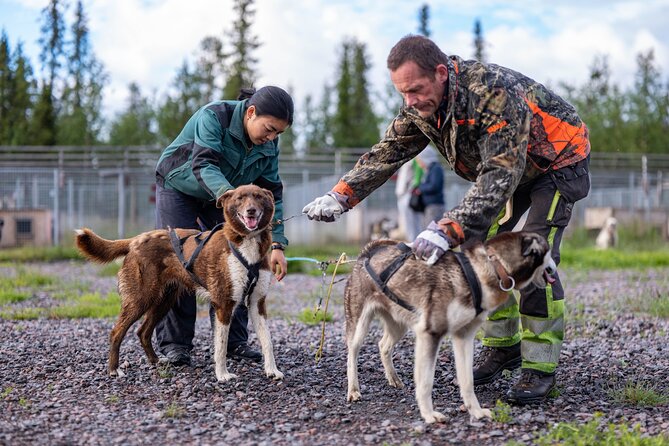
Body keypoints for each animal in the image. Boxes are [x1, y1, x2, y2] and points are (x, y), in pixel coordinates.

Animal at [75, 183, 282, 382]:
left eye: (258, 197)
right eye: (240, 198)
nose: (251, 211)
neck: (246, 242)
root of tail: (136, 240)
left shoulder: (257, 303)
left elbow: (267, 341)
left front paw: (272, 371)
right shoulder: (223, 303)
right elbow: (221, 346)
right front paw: (222, 375)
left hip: (163, 301)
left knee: (143, 331)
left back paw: (156, 361)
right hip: (140, 298)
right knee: (116, 332)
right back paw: (114, 370)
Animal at [342, 232, 556, 424]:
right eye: (548, 252)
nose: (554, 269)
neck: (488, 270)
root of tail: (367, 253)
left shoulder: (464, 337)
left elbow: (467, 381)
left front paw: (476, 412)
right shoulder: (430, 334)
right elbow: (425, 383)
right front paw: (429, 415)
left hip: (400, 323)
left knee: (383, 345)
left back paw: (393, 378)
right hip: (360, 325)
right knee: (352, 354)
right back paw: (353, 390)